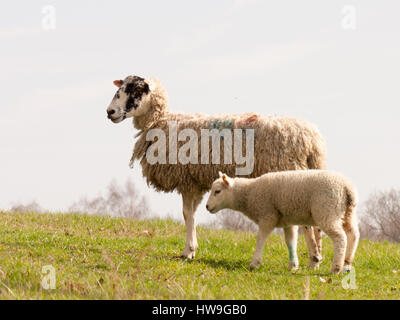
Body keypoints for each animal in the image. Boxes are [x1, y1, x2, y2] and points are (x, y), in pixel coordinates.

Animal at [107, 74, 328, 268]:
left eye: (135, 90)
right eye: (121, 87)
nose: (110, 111)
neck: (161, 121)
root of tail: (312, 140)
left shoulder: (186, 179)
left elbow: (187, 214)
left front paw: (188, 252)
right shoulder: (196, 182)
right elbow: (193, 213)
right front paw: (193, 248)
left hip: (291, 179)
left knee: (305, 223)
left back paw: (313, 260)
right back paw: (316, 260)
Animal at [206, 171, 360, 274]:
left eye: (217, 191)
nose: (207, 207)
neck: (249, 193)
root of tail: (347, 189)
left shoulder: (268, 215)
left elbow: (260, 239)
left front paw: (254, 263)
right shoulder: (287, 221)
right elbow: (290, 241)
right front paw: (293, 266)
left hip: (327, 211)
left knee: (340, 238)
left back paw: (336, 268)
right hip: (347, 212)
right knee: (354, 235)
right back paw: (347, 264)